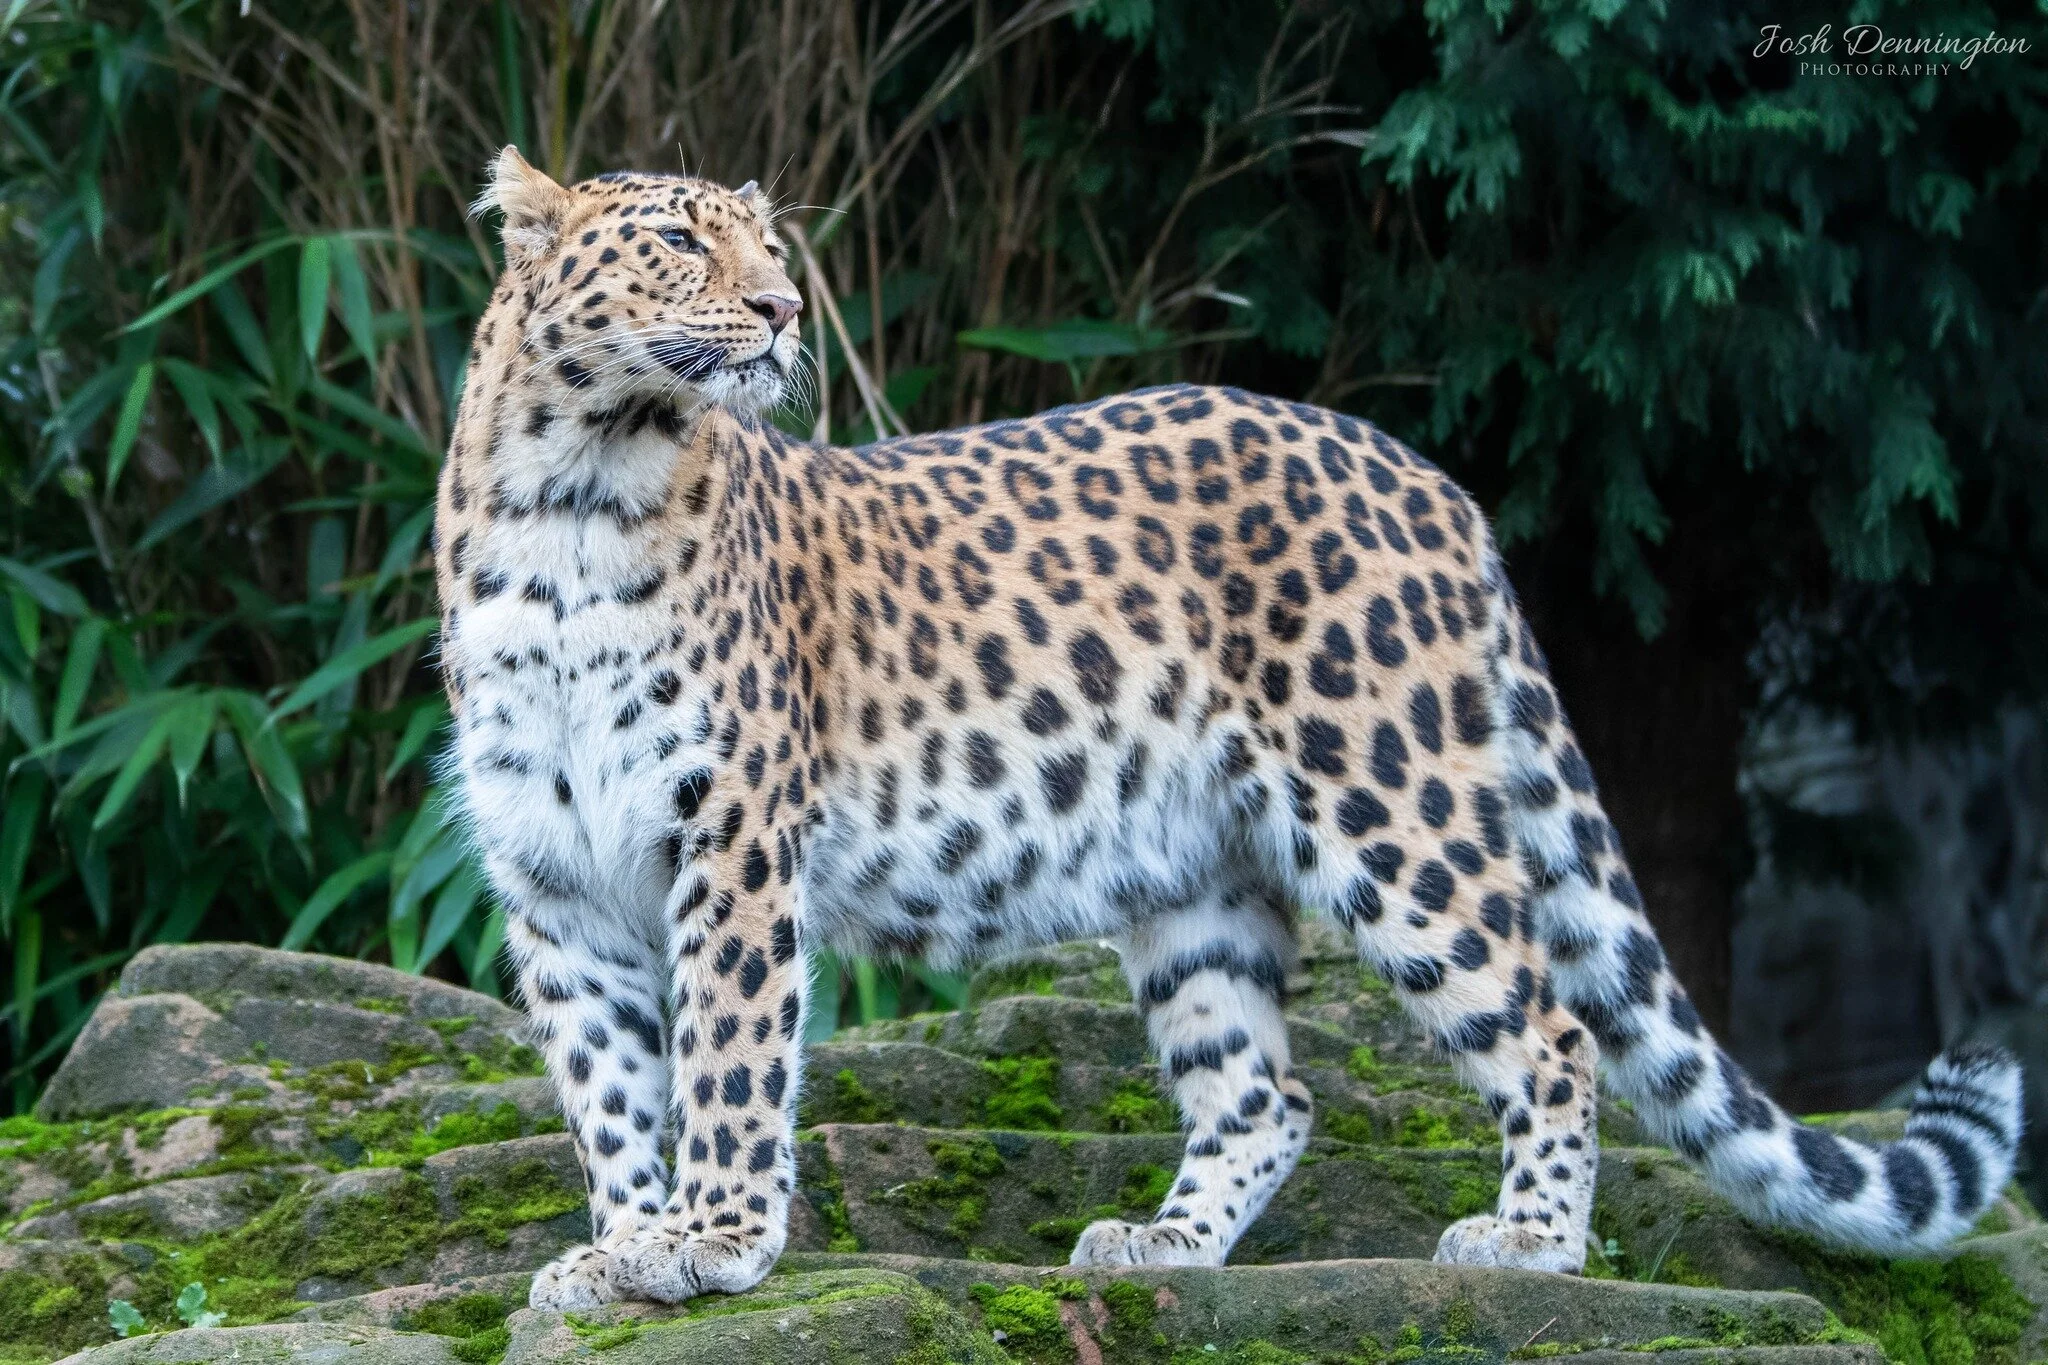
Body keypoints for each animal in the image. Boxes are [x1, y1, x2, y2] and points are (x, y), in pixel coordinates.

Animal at [434, 146, 2023, 1311]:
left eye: (765, 249)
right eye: (679, 242)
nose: (780, 313)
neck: (574, 496)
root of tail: (1423, 474)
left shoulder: (736, 835)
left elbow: (729, 1053)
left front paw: (713, 1237)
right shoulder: (553, 873)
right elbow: (607, 1085)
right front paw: (619, 1247)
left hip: (1394, 806)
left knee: (1553, 1026)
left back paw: (1528, 1245)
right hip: (1189, 873)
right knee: (1270, 1088)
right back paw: (1166, 1245)